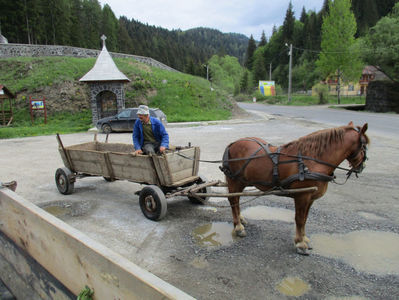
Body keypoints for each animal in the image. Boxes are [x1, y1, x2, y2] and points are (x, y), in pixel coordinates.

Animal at [220, 120, 370, 254]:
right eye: (365, 145)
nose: (361, 167)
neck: (311, 161)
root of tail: (232, 144)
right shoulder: (302, 196)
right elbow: (299, 219)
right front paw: (300, 243)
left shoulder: (310, 197)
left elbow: (305, 218)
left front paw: (304, 238)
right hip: (234, 181)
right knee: (233, 201)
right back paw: (238, 227)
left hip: (242, 181)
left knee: (237, 200)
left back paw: (240, 219)